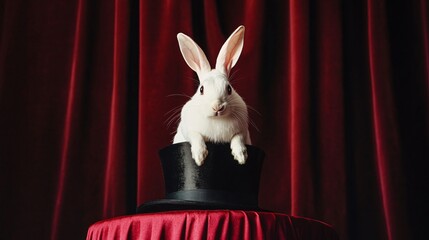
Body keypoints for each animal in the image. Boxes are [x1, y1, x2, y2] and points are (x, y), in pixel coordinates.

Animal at [172, 25, 249, 166]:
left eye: (229, 89)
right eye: (201, 89)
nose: (217, 107)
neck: (216, 119)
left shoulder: (243, 130)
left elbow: (238, 138)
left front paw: (241, 157)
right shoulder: (188, 130)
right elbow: (196, 136)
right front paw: (199, 157)